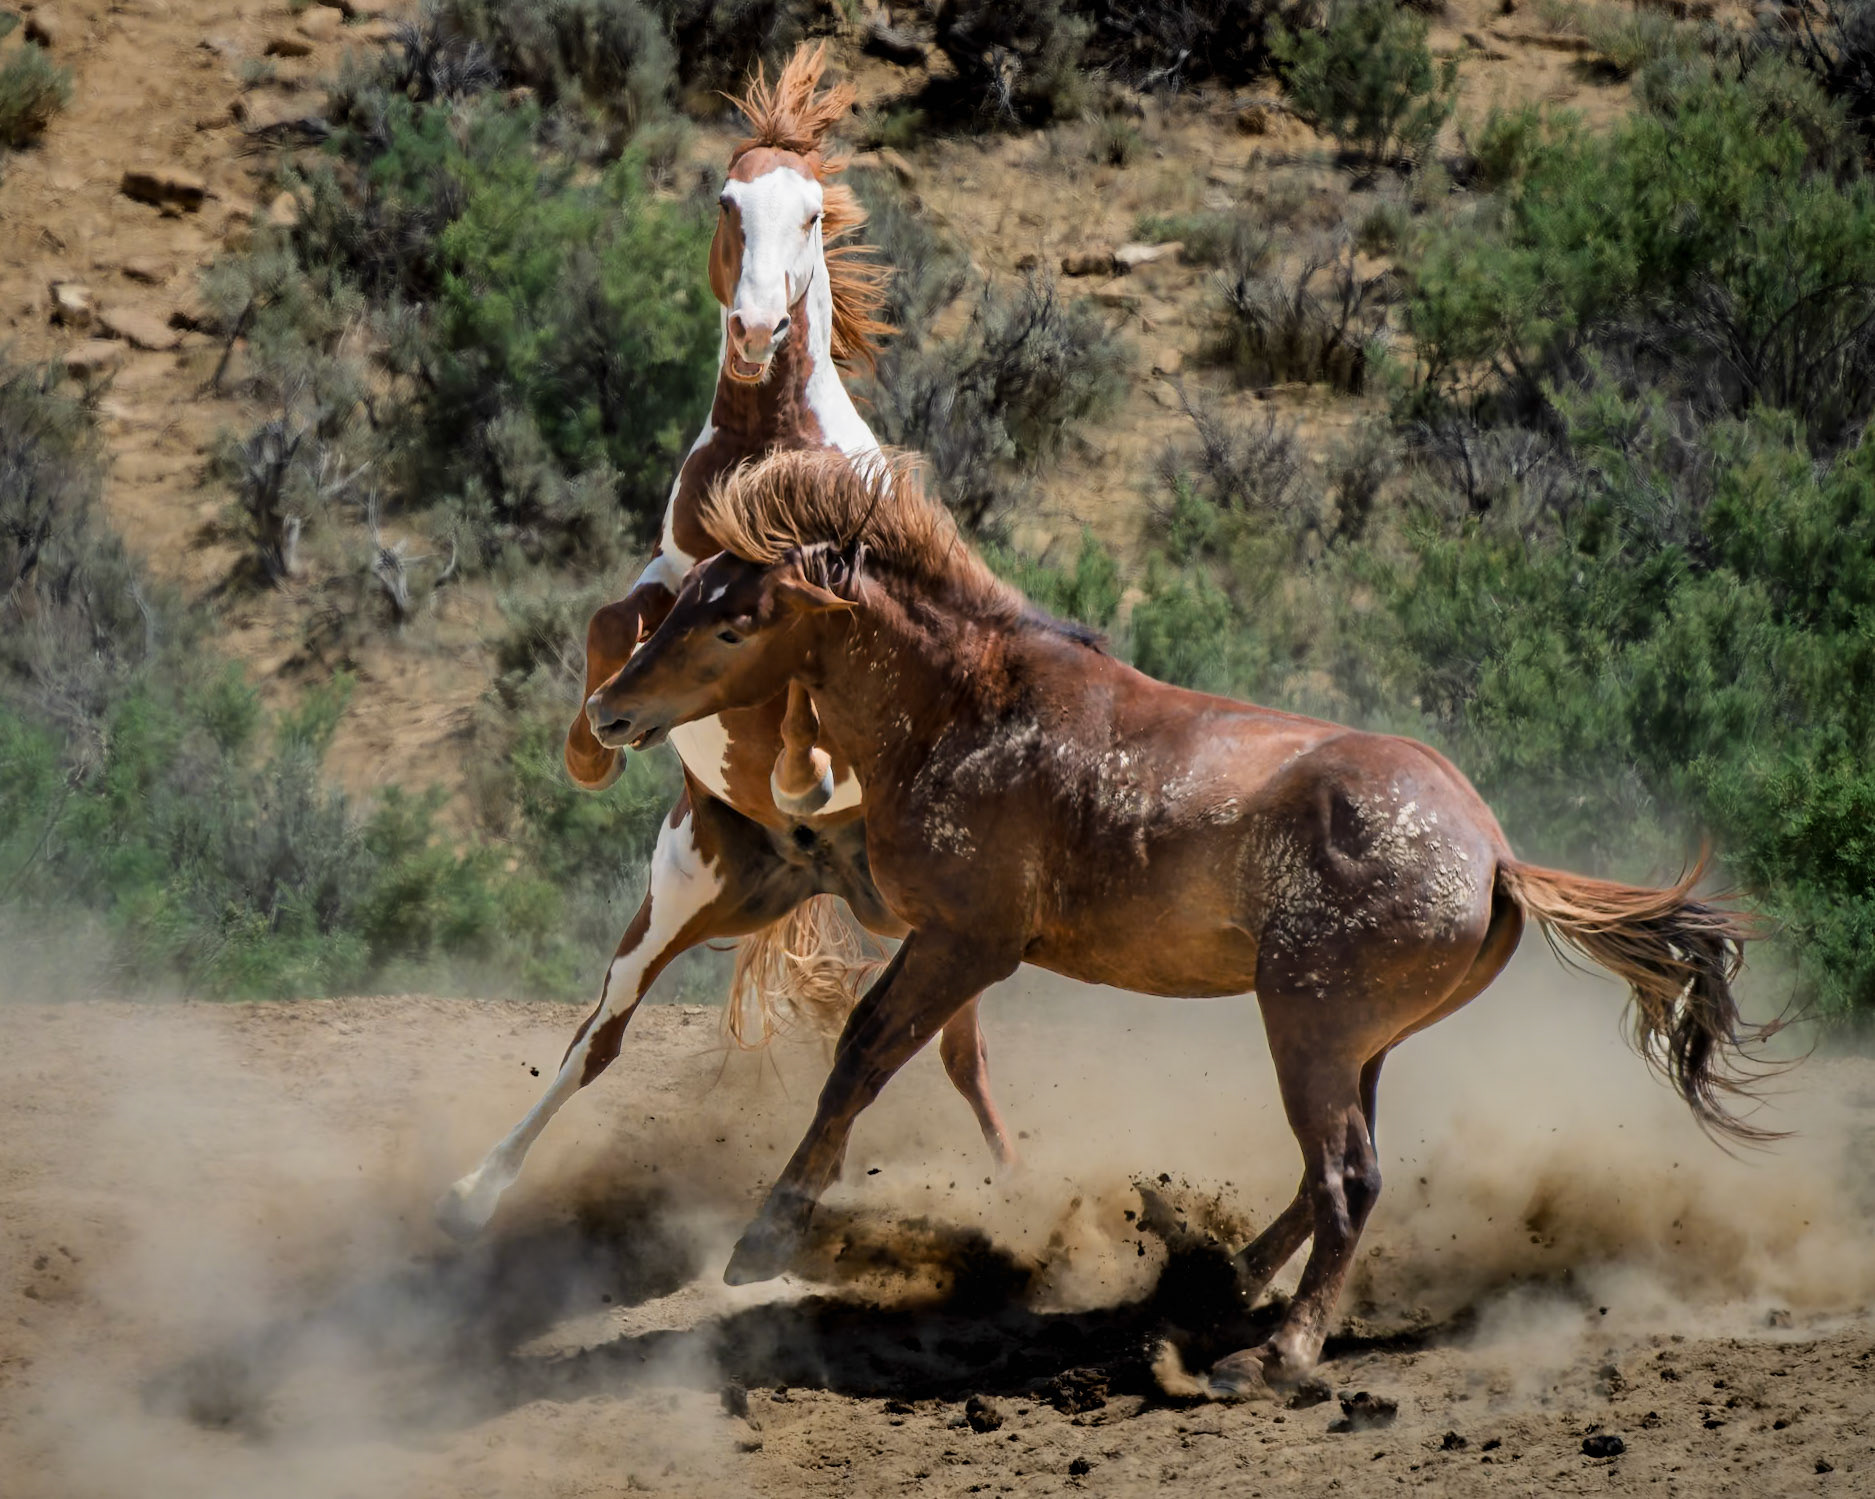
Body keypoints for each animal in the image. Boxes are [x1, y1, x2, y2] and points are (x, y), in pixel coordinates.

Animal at [438, 46, 1015, 1241]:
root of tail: (828, 877)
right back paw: (476, 1188)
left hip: (950, 934)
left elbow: (796, 691)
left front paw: (805, 765)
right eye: (725, 204)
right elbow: (613, 624)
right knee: (597, 1037)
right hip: (680, 897)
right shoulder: (672, 578)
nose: (753, 332)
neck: (764, 450)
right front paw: (591, 745)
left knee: (960, 1061)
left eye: (814, 213)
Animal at [583, 448, 1775, 1397]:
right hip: (1358, 1040)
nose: (610, 711)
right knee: (1327, 1173)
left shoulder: (968, 942)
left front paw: (764, 1237)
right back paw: (1224, 1277)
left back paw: (1273, 1353)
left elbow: (864, 1054)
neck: (971, 709)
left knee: (1349, 1178)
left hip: (1308, 1024)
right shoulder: (932, 932)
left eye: (735, 618)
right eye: (684, 596)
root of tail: (1491, 855)